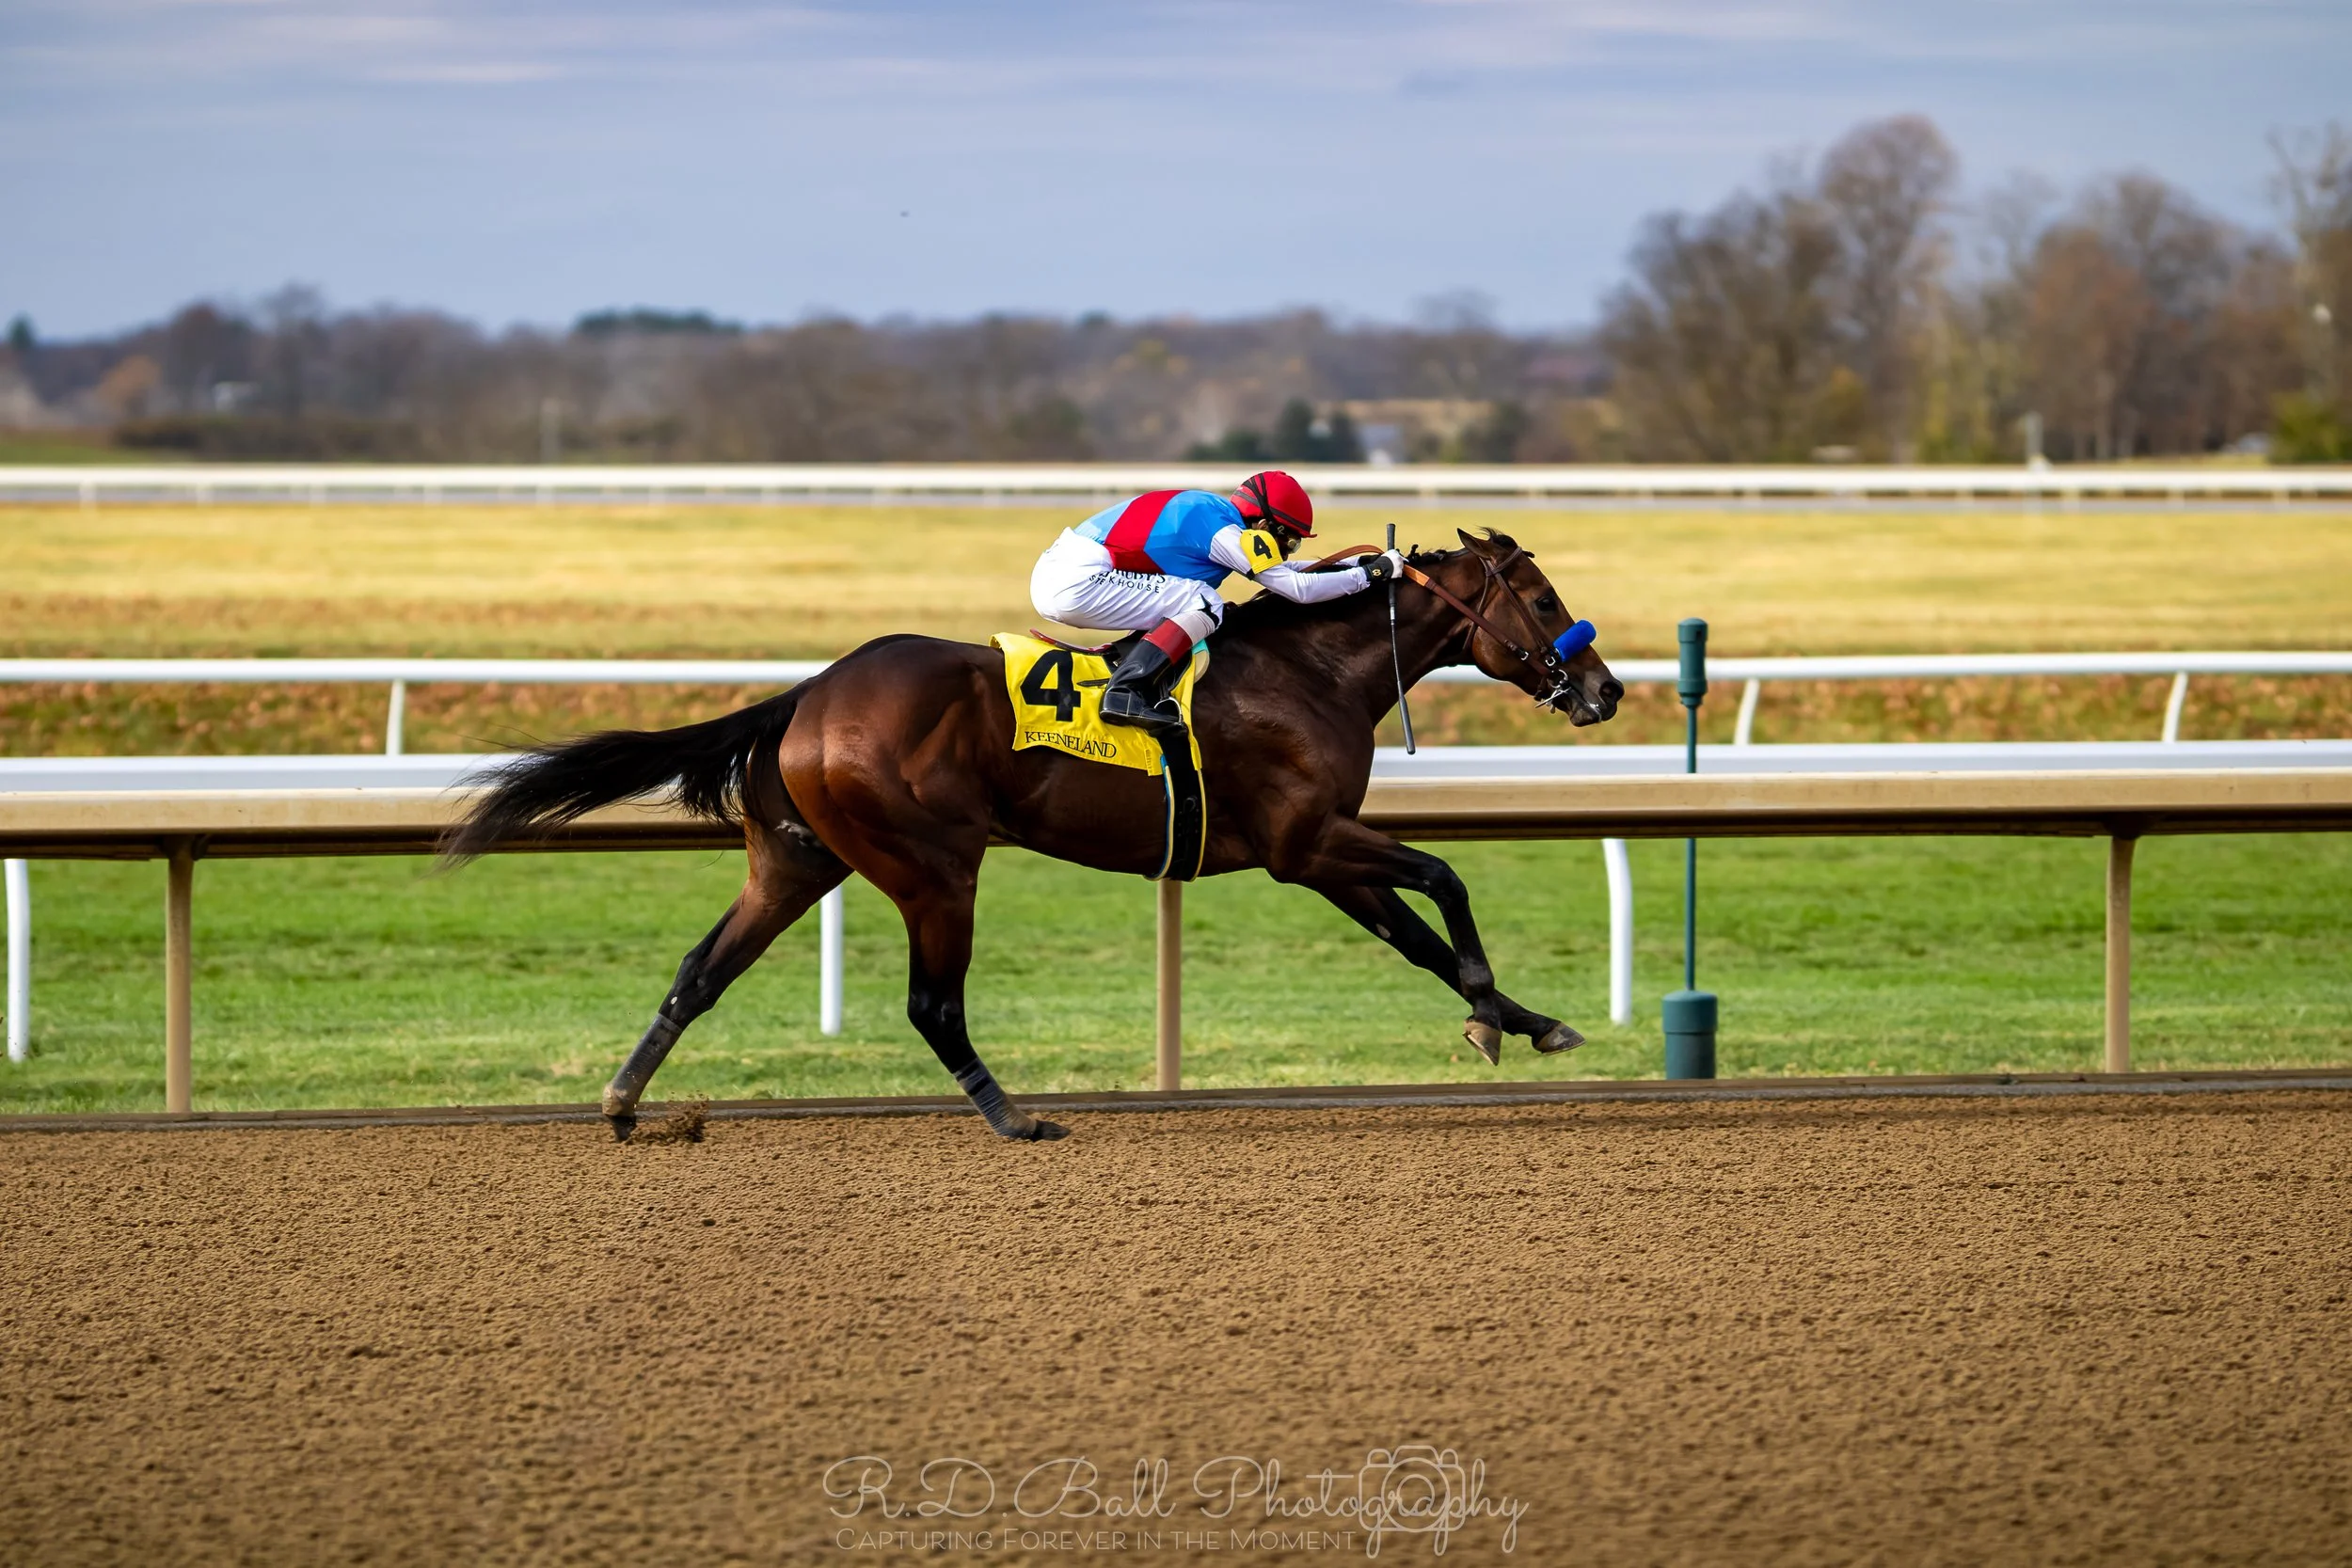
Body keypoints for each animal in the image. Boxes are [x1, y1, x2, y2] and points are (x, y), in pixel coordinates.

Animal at [442, 528, 1623, 1141]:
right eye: (1541, 595)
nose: (1604, 688)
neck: (1310, 670)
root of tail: (809, 694)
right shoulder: (1306, 843)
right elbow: (1445, 876)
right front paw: (1493, 1013)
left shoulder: (1318, 851)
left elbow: (1418, 934)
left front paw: (1523, 1021)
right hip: (932, 865)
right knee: (931, 1002)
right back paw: (1013, 1117)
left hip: (795, 859)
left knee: (699, 970)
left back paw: (624, 1101)